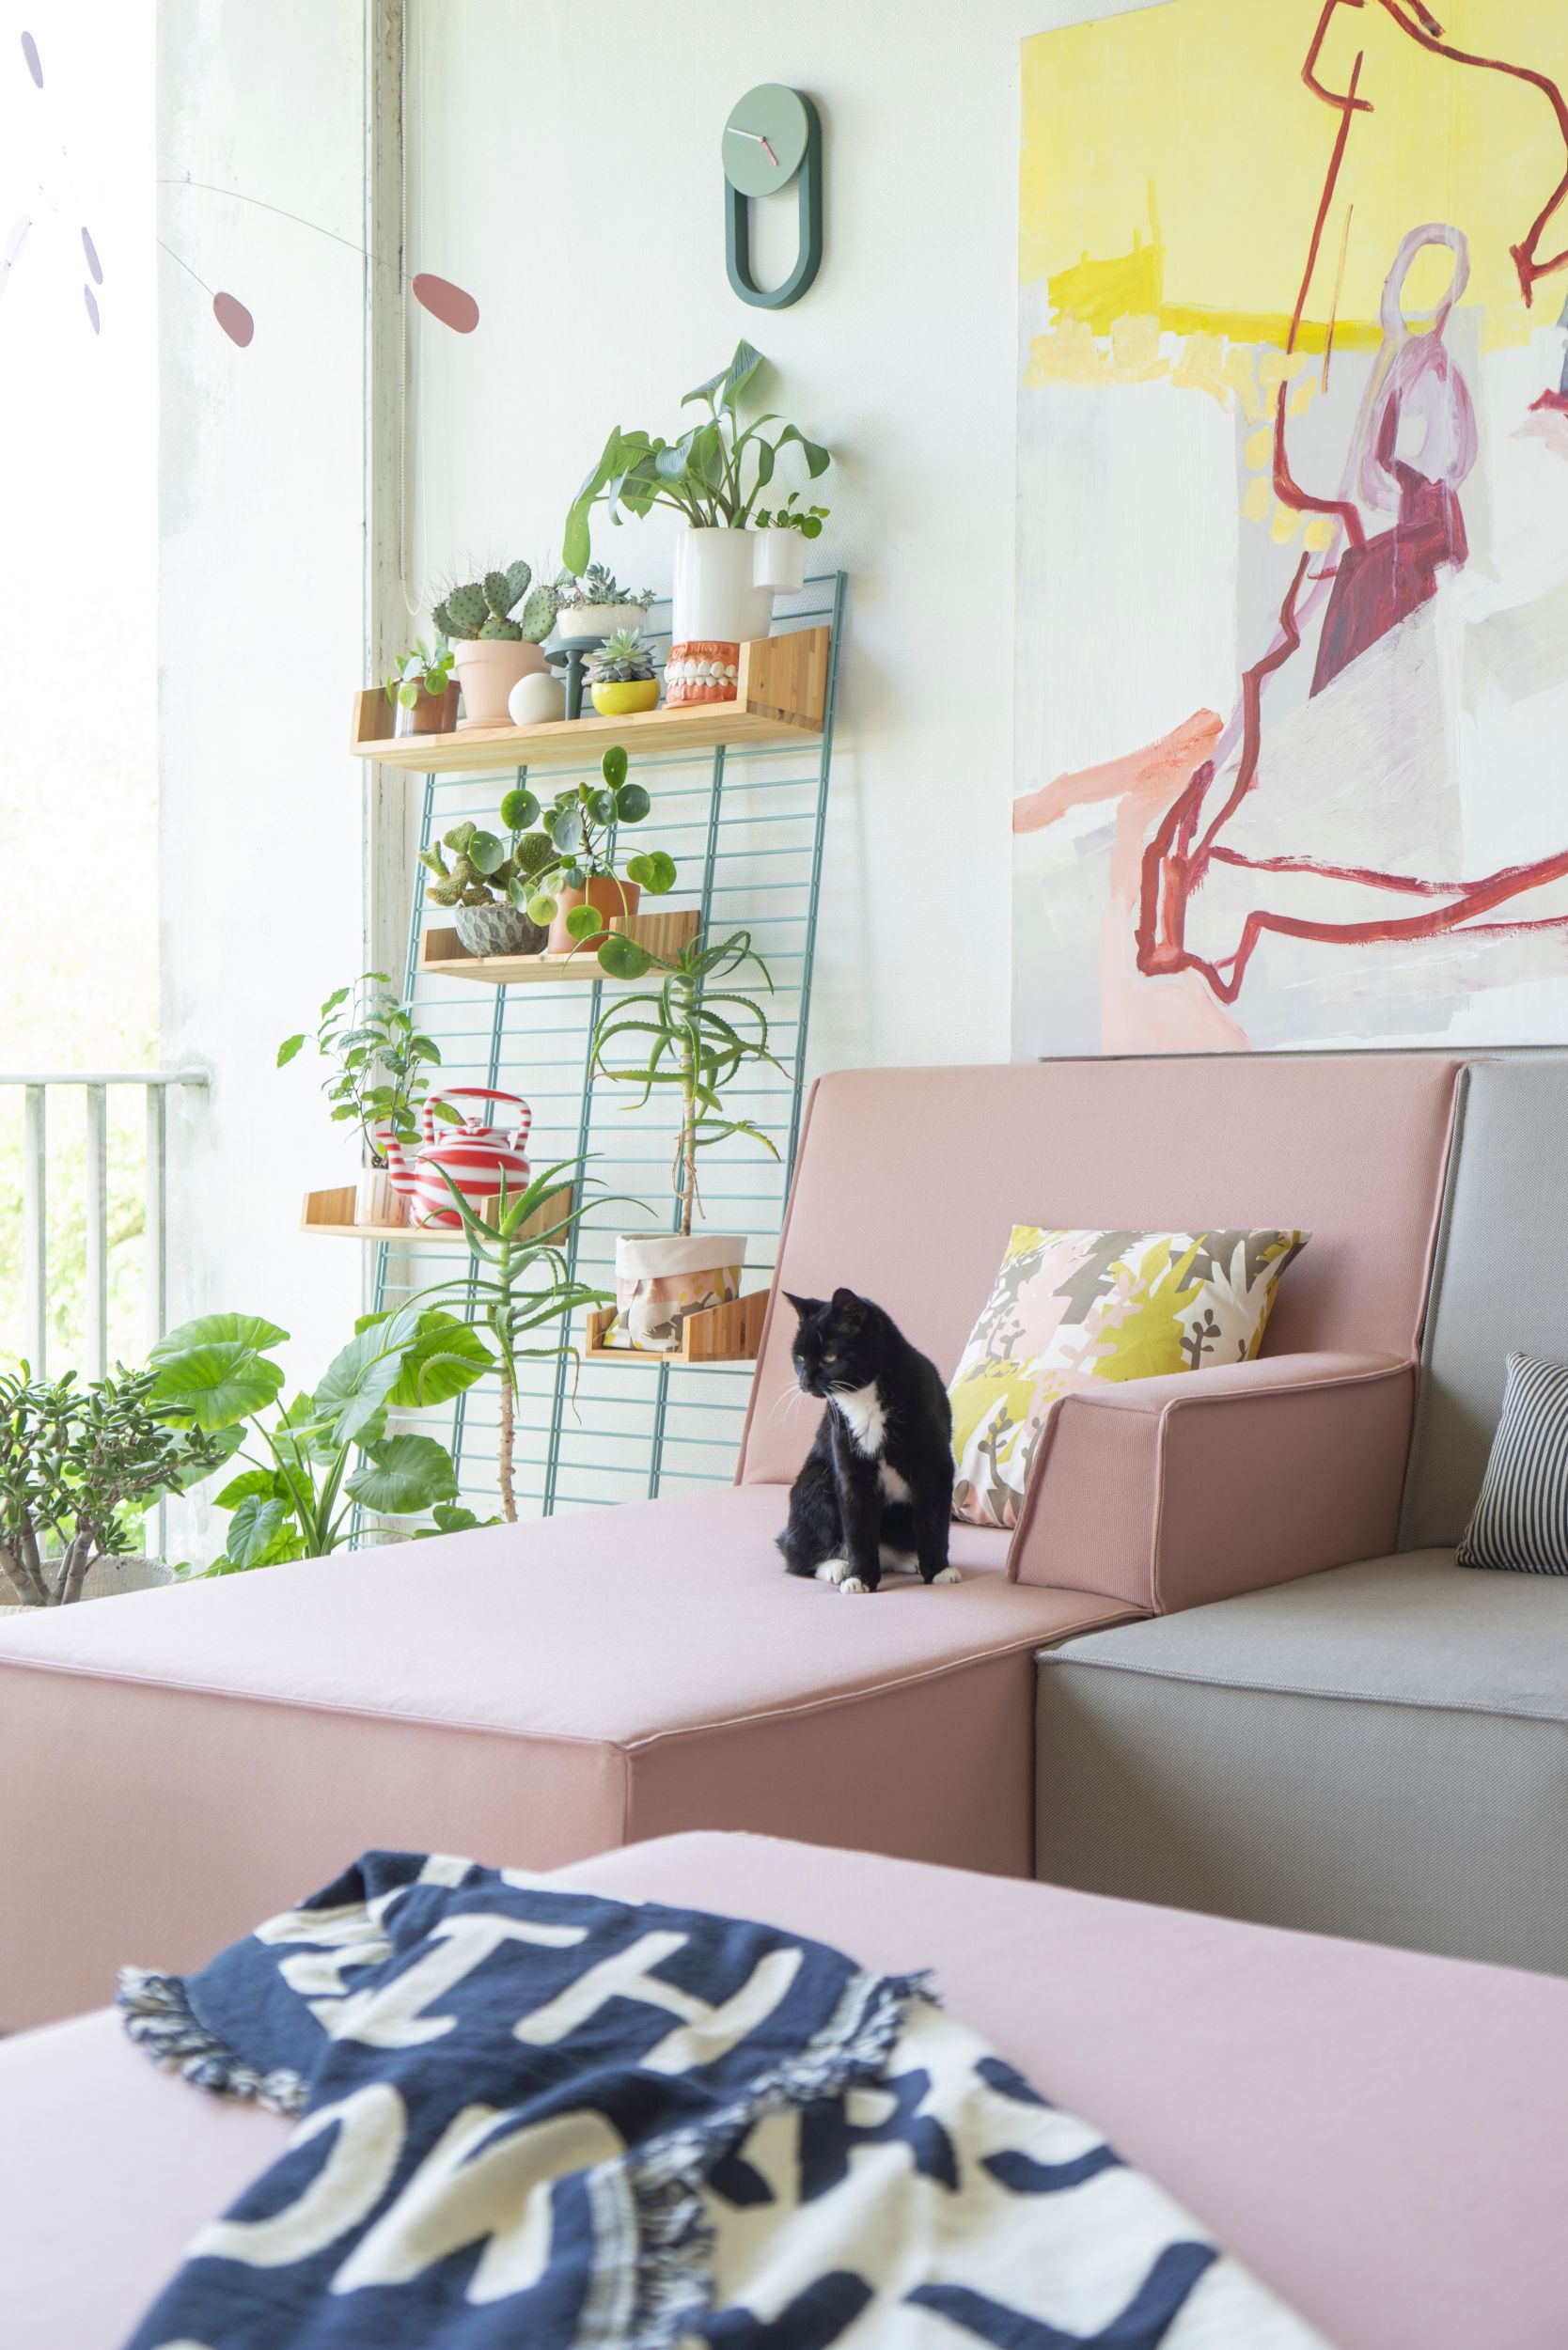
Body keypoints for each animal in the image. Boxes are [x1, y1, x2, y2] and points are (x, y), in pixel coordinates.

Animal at [776, 1288, 959, 1598]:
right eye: (799, 1357)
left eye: (830, 1356)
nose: (806, 1381)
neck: (863, 1399)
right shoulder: (849, 1463)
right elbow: (857, 1525)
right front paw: (859, 1577)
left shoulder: (935, 1465)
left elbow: (934, 1519)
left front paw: (938, 1571)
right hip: (815, 1479)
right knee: (797, 1557)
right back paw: (837, 1566)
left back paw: (911, 1560)